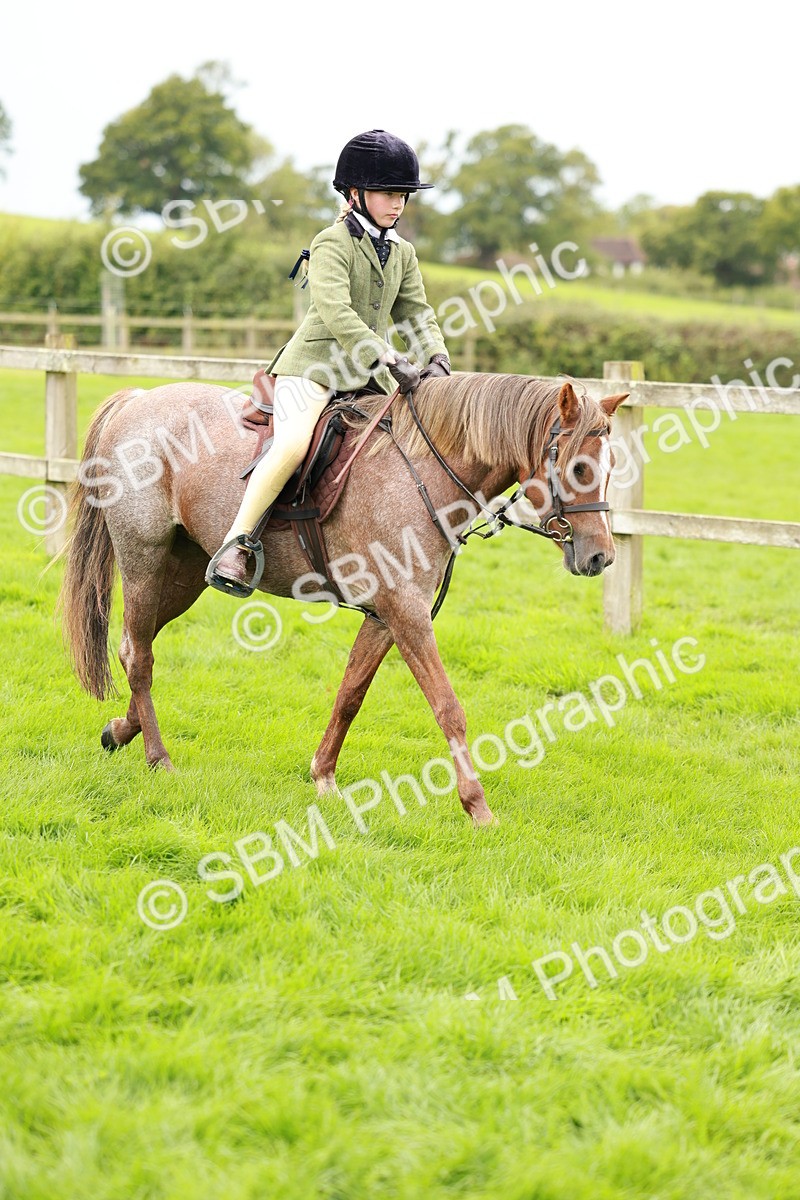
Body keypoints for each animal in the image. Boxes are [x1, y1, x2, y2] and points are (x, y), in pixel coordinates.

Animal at [58, 373, 628, 825]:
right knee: (139, 656)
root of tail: (138, 399)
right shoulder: (406, 612)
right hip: (144, 560)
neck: (424, 471)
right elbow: (448, 707)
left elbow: (350, 695)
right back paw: (158, 758)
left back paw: (121, 730)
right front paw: (478, 806)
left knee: (136, 646)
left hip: (181, 575)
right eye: (578, 468)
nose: (602, 556)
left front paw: (324, 777)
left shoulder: (386, 616)